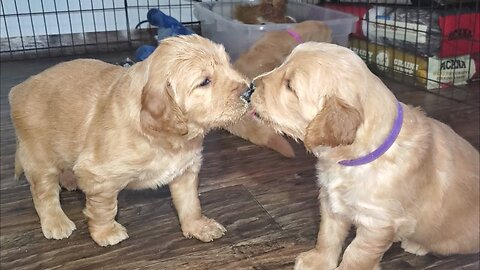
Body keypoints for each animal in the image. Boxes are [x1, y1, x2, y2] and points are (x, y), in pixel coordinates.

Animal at [9, 35, 249, 247]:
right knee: (43, 193)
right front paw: (105, 233)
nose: (250, 90)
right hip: (39, 157)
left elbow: (190, 203)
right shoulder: (99, 176)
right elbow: (103, 208)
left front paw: (198, 226)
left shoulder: (186, 170)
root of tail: (18, 88)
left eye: (228, 64)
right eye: (205, 82)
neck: (167, 139)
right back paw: (56, 222)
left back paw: (70, 180)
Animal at [248, 41, 480, 268]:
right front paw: (318, 261)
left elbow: (356, 255)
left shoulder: (377, 223)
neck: (352, 159)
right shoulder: (330, 201)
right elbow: (327, 235)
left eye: (289, 86)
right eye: (281, 65)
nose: (249, 87)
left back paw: (416, 244)